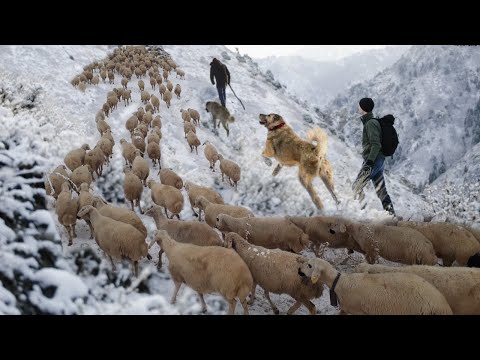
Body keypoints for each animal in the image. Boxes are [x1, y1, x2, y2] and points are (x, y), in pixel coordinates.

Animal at [298, 258, 452, 314]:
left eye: (310, 265)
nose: (299, 270)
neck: (340, 282)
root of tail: (445, 306)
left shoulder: (357, 311)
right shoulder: (346, 309)